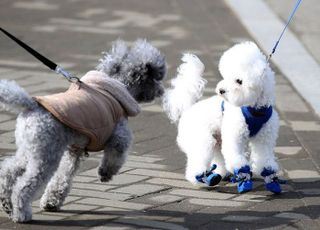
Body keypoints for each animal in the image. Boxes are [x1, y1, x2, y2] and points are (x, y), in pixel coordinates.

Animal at [0, 40, 166, 223]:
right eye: (155, 78)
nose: (161, 91)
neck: (115, 83)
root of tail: (31, 106)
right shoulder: (119, 137)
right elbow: (115, 157)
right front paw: (105, 173)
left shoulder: (74, 150)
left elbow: (63, 176)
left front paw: (51, 201)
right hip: (46, 154)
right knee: (23, 185)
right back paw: (22, 213)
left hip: (29, 150)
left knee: (8, 171)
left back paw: (7, 204)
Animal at [164, 41, 282, 194]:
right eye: (226, 77)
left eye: (239, 81)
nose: (221, 90)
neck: (255, 109)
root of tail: (188, 109)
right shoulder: (235, 136)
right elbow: (236, 157)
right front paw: (243, 175)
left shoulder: (264, 139)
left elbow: (264, 158)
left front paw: (270, 177)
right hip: (201, 139)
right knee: (198, 159)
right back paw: (201, 176)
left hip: (217, 141)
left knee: (218, 158)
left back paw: (220, 174)